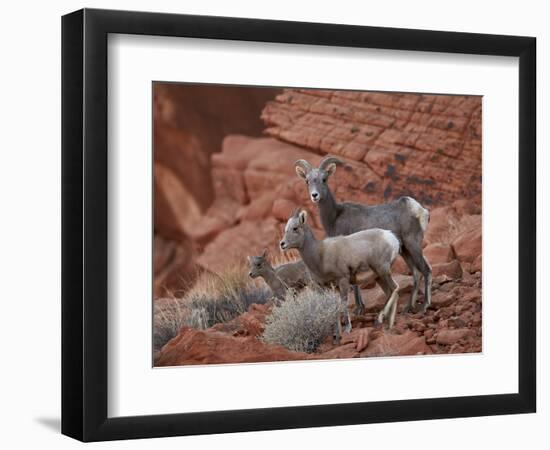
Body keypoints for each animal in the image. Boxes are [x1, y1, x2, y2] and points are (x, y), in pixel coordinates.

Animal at [282, 209, 404, 340]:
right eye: (286, 229)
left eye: (295, 228)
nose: (282, 244)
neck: (320, 255)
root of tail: (391, 238)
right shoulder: (327, 287)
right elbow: (333, 307)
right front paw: (336, 334)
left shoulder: (343, 281)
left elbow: (344, 303)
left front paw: (347, 329)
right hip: (379, 277)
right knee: (390, 292)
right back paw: (388, 323)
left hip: (383, 271)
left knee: (395, 288)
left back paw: (381, 319)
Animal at [296, 156, 434, 314]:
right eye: (307, 181)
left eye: (324, 179)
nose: (315, 195)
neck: (335, 216)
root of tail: (420, 210)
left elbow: (355, 284)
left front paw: (358, 309)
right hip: (405, 249)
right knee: (416, 273)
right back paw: (408, 308)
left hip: (413, 244)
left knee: (426, 270)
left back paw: (424, 306)